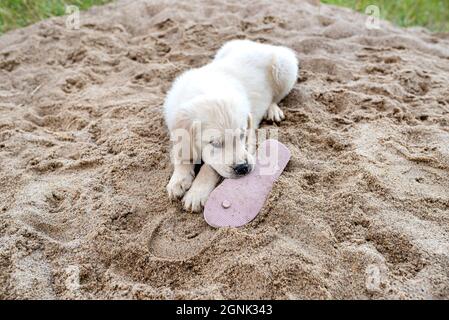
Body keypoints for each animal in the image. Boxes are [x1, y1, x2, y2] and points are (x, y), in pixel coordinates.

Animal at [163, 38, 296, 211]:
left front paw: (196, 193)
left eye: (242, 135)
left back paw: (272, 110)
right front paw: (178, 181)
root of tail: (259, 44)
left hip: (284, 66)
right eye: (215, 143)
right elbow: (181, 152)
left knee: (277, 96)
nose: (243, 168)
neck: (207, 89)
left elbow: (210, 167)